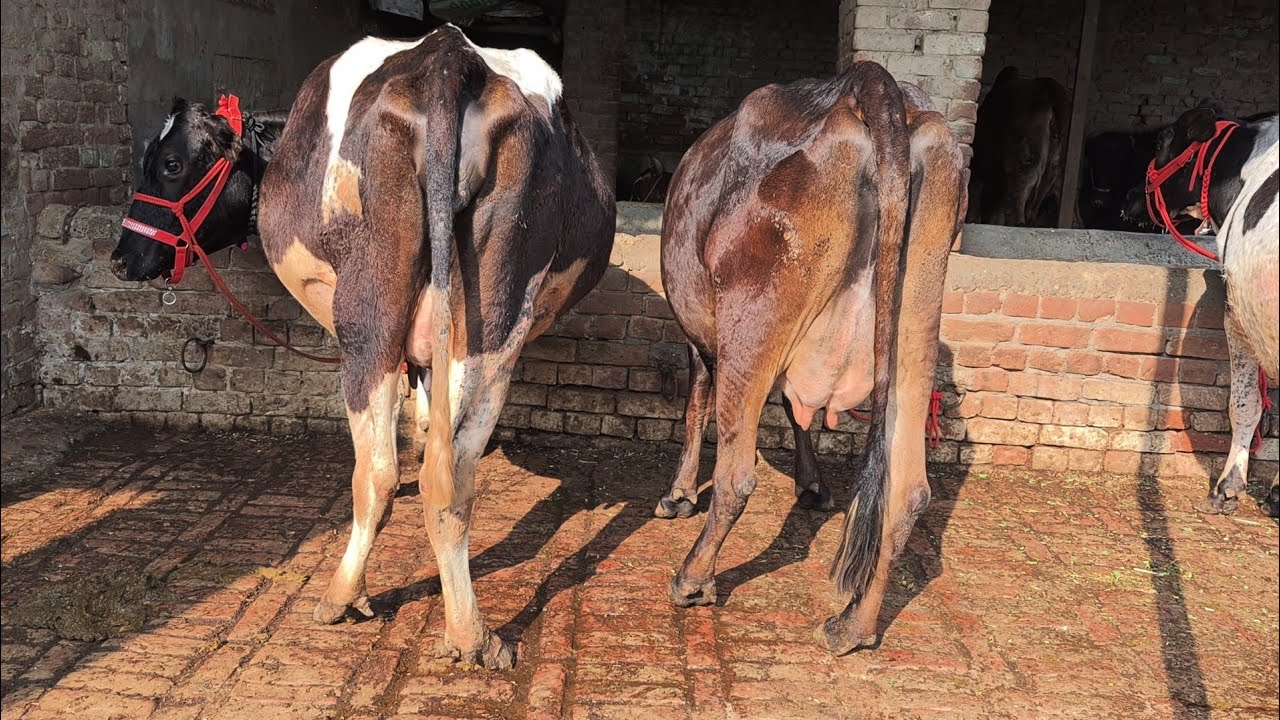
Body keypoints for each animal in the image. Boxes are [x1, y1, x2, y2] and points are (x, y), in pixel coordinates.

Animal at [111, 25, 616, 668]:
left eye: (170, 164)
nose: (122, 257)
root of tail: (447, 59)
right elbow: (427, 420)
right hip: (495, 320)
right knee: (449, 476)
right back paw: (470, 633)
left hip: (366, 317)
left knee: (376, 471)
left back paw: (343, 596)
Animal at [653, 63, 966, 654]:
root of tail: (869, 85)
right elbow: (797, 411)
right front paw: (812, 484)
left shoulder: (702, 337)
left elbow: (696, 405)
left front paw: (677, 493)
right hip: (918, 312)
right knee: (907, 491)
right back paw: (853, 625)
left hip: (753, 317)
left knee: (736, 477)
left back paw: (692, 579)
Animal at [968, 66, 1069, 227]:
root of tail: (1048, 90)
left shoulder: (978, 167)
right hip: (1052, 160)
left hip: (1024, 152)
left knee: (1023, 180)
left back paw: (1017, 223)